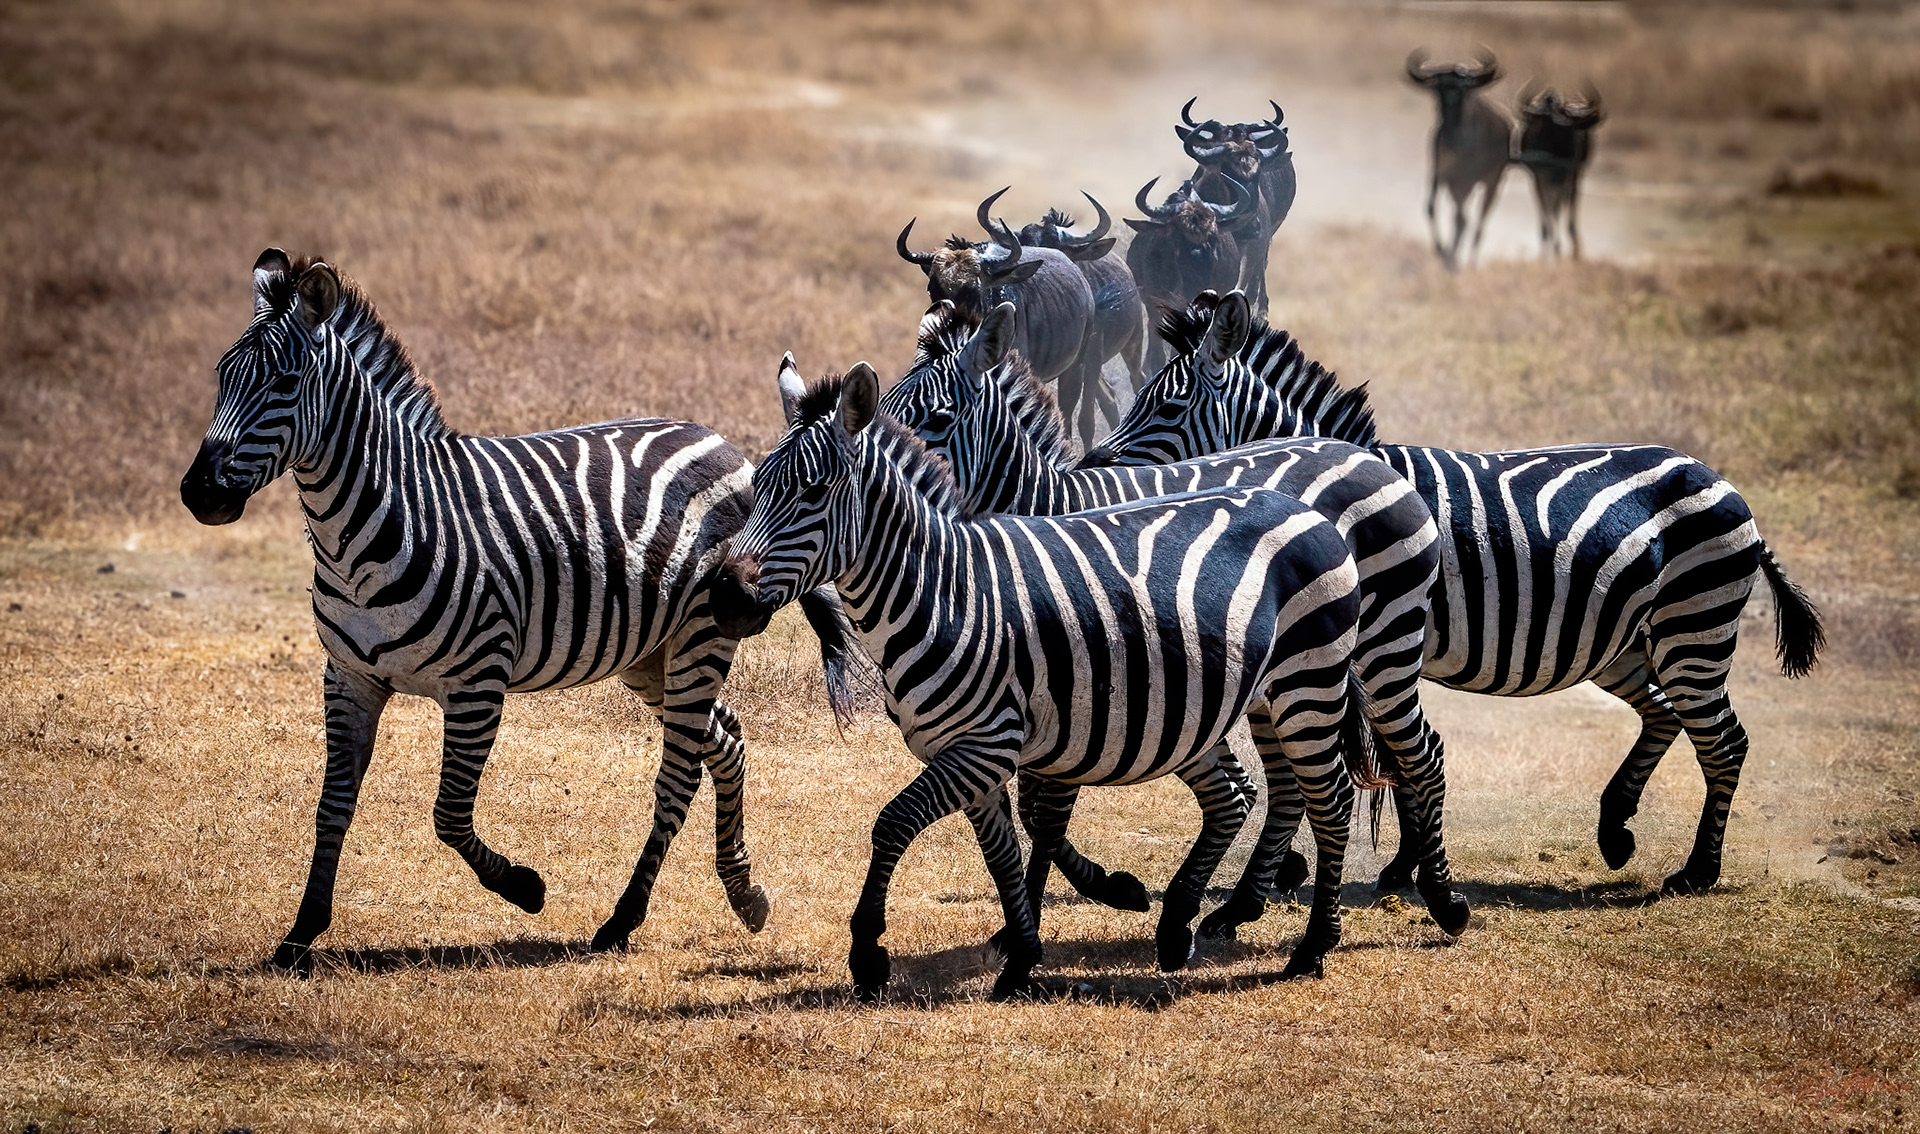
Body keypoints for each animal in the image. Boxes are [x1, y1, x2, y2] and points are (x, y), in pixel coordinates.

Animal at [178, 249, 852, 973]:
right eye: (221, 376)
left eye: (285, 382)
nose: (199, 494)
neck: (373, 524)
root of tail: (724, 443)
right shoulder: (349, 678)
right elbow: (332, 805)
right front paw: (300, 934)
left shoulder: (479, 680)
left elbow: (449, 812)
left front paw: (526, 887)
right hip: (652, 652)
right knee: (722, 740)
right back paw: (744, 892)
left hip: (701, 637)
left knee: (677, 774)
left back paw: (621, 921)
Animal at [712, 341, 1378, 999]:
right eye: (759, 485)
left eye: (814, 491)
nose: (727, 597)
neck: (942, 593)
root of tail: (1302, 508)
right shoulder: (965, 753)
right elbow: (1002, 852)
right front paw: (1021, 958)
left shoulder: (986, 744)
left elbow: (894, 823)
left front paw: (869, 955)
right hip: (1201, 709)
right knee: (1232, 796)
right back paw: (1176, 929)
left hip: (1306, 687)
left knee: (1331, 800)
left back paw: (1311, 949)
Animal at [873, 297, 1469, 939]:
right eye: (882, 409)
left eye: (936, 418)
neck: (1044, 511)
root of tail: (1367, 458)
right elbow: (1038, 808)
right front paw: (1061, 904)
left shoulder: (1088, 684)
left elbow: (1046, 811)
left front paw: (1078, 901)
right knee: (1303, 778)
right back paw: (1250, 900)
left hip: (1381, 645)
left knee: (1419, 751)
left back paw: (1440, 898)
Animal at [1083, 291, 1827, 896]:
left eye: (1168, 406)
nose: (1090, 465)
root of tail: (1726, 483)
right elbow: (1398, 754)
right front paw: (1406, 864)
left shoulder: (1377, 642)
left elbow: (1391, 753)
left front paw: (1391, 867)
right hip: (1622, 643)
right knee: (1666, 713)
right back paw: (1616, 829)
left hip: (1692, 625)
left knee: (1724, 741)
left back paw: (1697, 871)